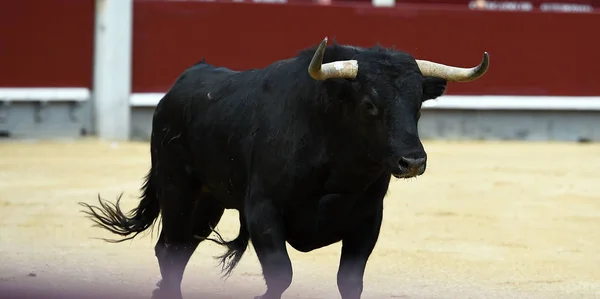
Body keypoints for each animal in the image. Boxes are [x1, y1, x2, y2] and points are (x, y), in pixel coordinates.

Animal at [79, 38, 490, 299]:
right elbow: (281, 275)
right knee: (168, 249)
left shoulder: (368, 220)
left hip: (209, 202)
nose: (413, 161)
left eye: (419, 103)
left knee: (179, 251)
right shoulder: (263, 211)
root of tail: (180, 85)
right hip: (177, 188)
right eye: (370, 104)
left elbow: (349, 281)